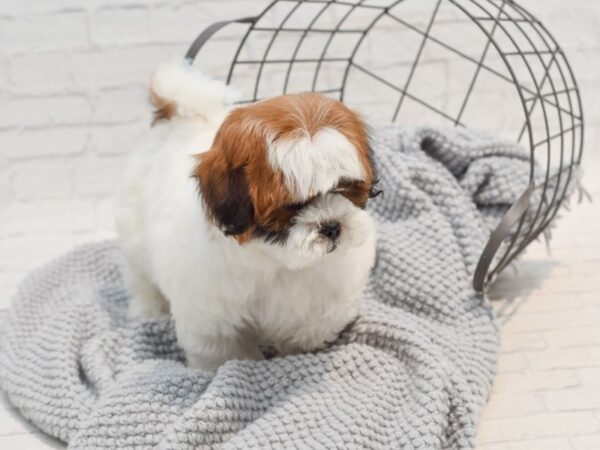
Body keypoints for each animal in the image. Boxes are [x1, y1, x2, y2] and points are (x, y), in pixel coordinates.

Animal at [115, 61, 380, 370]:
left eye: (345, 188)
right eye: (291, 206)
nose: (332, 227)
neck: (277, 263)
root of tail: (178, 118)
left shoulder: (314, 313)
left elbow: (301, 338)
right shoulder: (214, 316)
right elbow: (225, 352)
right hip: (134, 232)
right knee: (140, 276)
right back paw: (147, 310)